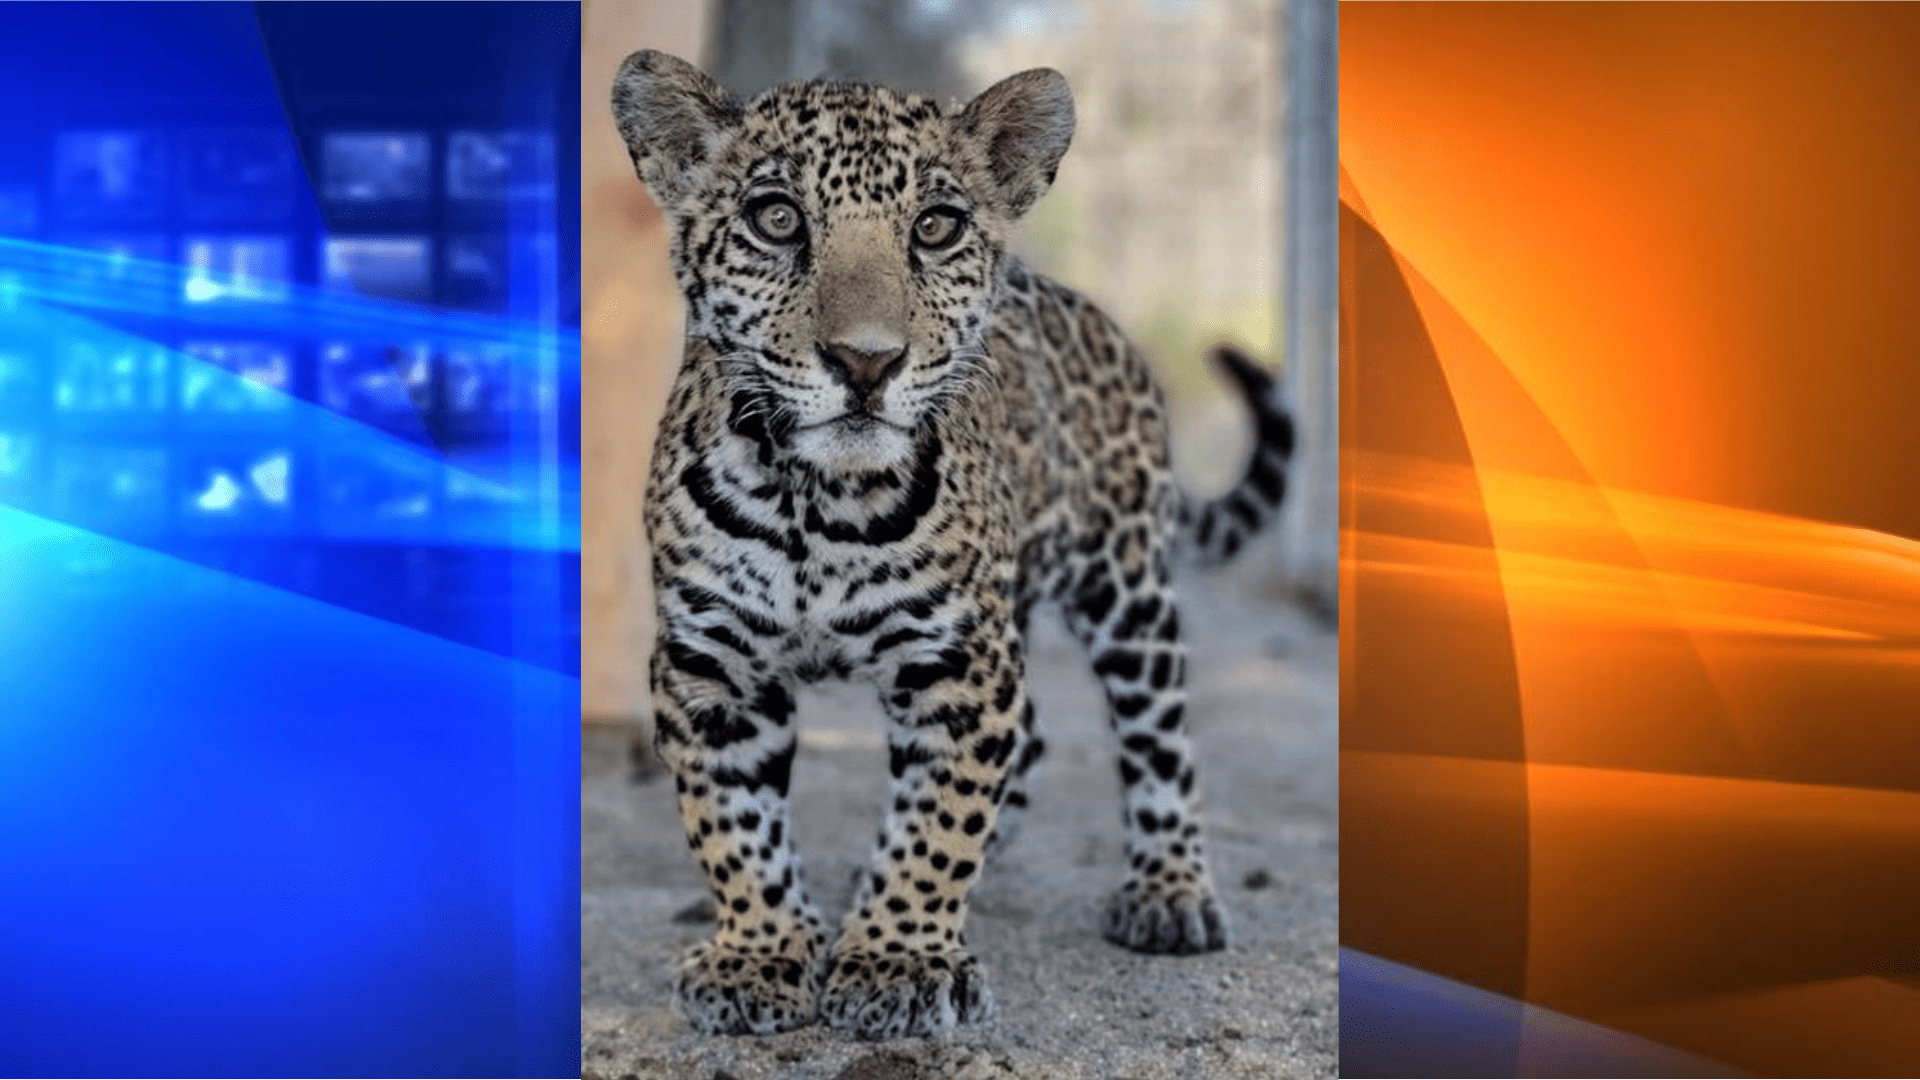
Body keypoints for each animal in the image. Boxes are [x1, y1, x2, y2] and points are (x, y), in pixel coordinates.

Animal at [612, 50, 1294, 1041]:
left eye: (935, 228)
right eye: (776, 219)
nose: (865, 362)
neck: (816, 503)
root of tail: (1089, 312)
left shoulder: (960, 660)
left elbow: (939, 821)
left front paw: (896, 959)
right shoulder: (710, 664)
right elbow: (733, 824)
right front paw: (763, 952)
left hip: (1128, 589)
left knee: (1158, 739)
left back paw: (1169, 892)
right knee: (1034, 738)